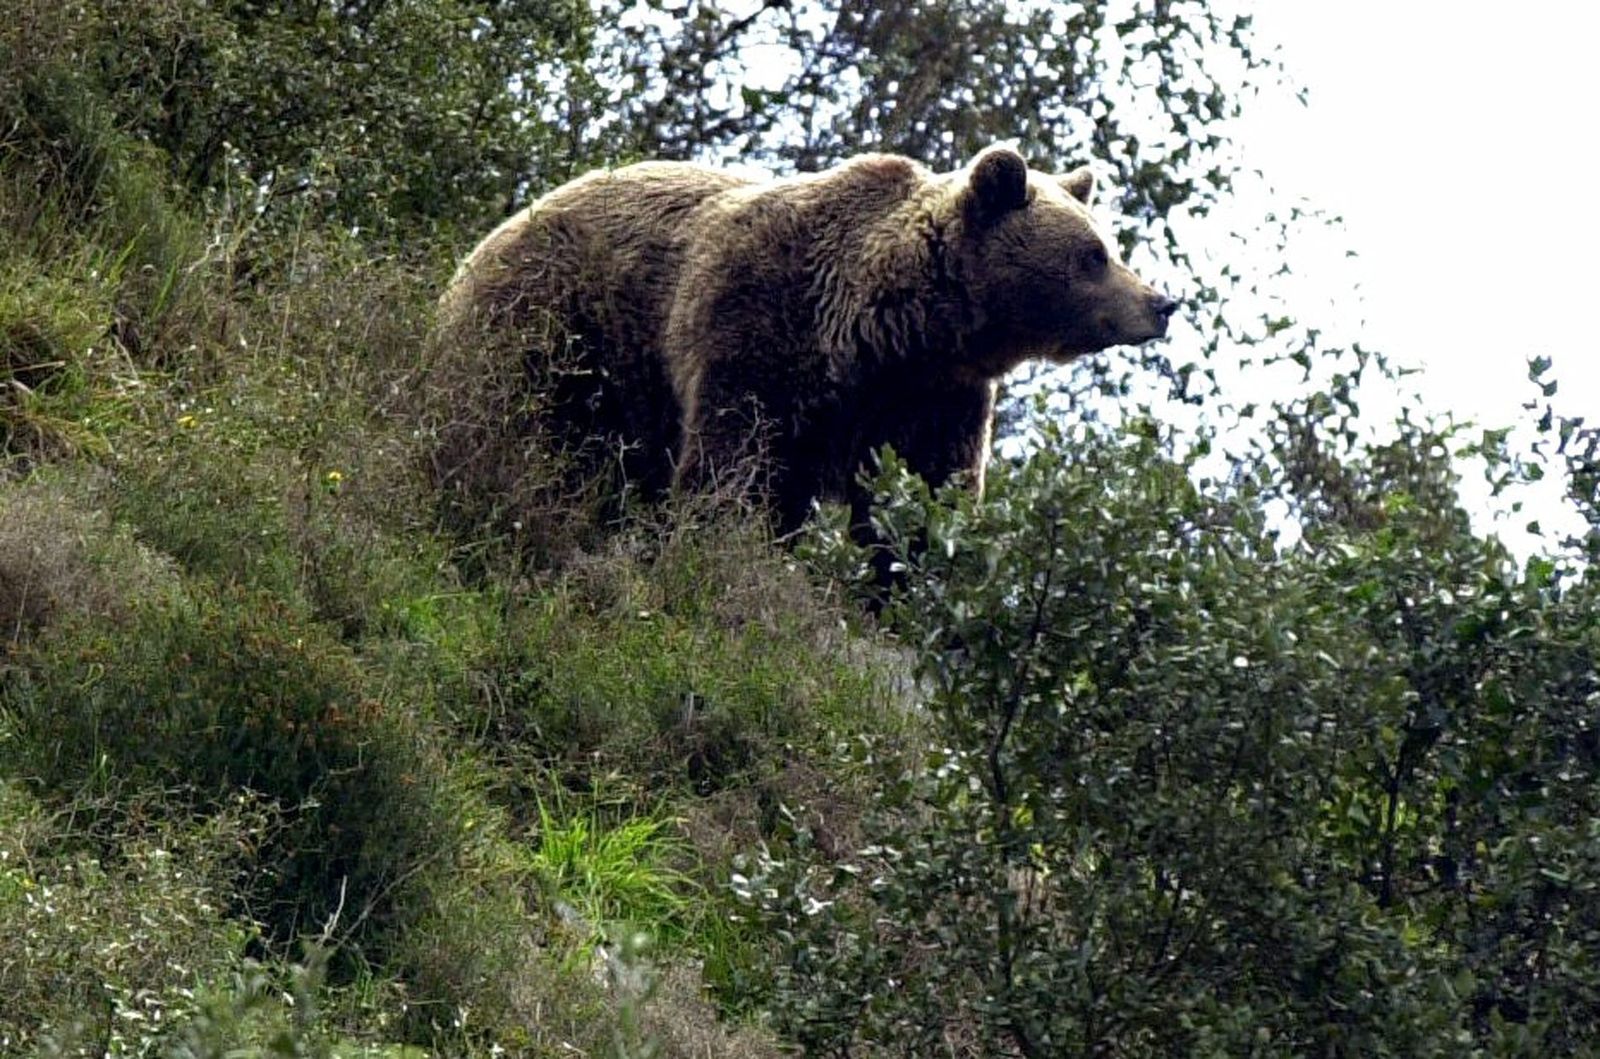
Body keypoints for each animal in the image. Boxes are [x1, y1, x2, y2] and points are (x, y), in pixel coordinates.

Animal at [431, 146, 1175, 546]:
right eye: (1094, 255)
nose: (1161, 303)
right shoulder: (758, 323)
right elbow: (734, 462)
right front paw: (721, 543)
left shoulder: (934, 398)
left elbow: (929, 496)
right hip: (558, 327)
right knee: (519, 420)